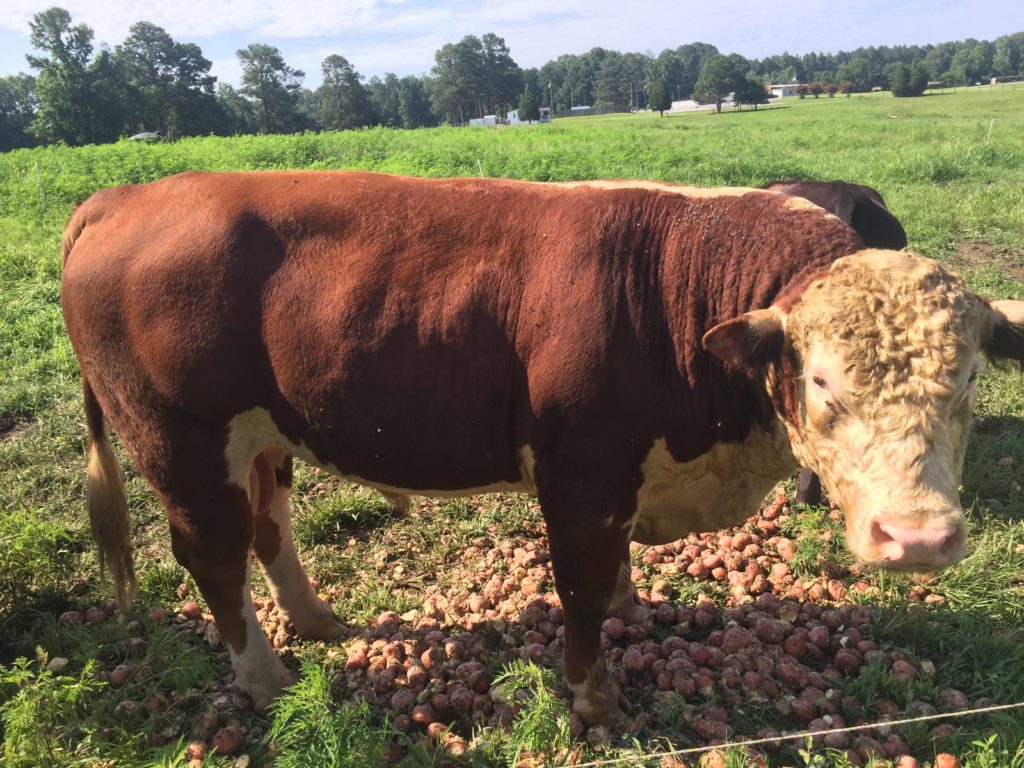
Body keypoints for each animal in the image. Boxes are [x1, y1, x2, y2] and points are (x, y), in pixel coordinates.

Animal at [64, 171, 1024, 724]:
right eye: (821, 382)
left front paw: (636, 606)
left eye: (972, 378)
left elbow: (615, 579)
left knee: (270, 528)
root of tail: (124, 196)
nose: (919, 538)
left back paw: (316, 619)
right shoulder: (581, 473)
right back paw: (264, 678)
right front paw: (595, 697)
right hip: (182, 444)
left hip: (266, 436)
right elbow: (583, 591)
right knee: (214, 557)